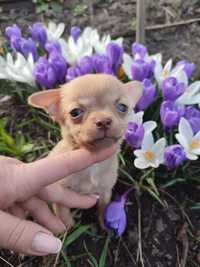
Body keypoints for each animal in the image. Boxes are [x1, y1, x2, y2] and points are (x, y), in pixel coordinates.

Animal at [28, 73, 143, 228]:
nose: (103, 121)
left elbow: (103, 208)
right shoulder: (61, 193)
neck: (92, 167)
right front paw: (68, 228)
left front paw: (104, 226)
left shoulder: (105, 191)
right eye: (75, 112)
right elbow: (63, 214)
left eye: (122, 107)